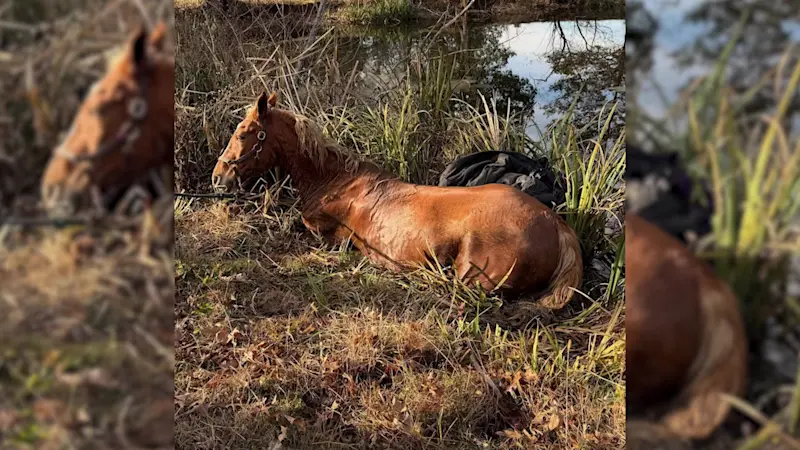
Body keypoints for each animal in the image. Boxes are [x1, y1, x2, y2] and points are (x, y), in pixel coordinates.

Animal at [212, 92, 583, 307]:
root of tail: (557, 225)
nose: (218, 177)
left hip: (473, 279)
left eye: (243, 133)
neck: (337, 181)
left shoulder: (322, 230)